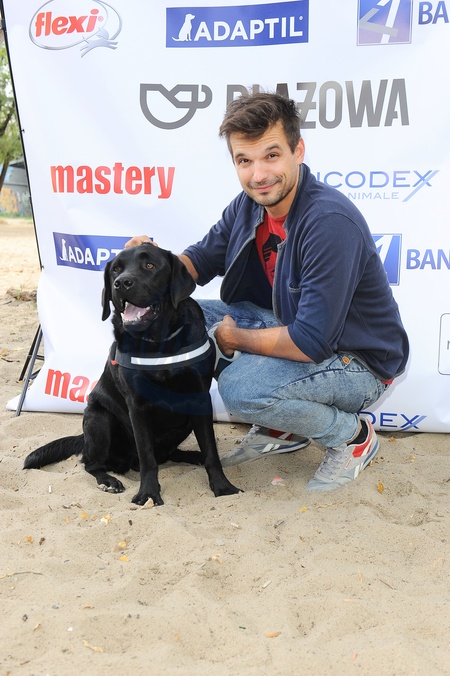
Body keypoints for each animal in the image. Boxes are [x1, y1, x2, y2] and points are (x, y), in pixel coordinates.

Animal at [24, 244, 240, 506]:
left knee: (169, 454)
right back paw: (108, 481)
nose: (121, 283)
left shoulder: (199, 398)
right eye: (115, 269)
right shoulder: (137, 406)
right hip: (99, 418)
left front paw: (222, 486)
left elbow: (210, 450)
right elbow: (147, 457)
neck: (158, 343)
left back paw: (192, 455)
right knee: (91, 463)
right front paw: (148, 494)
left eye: (150, 265)